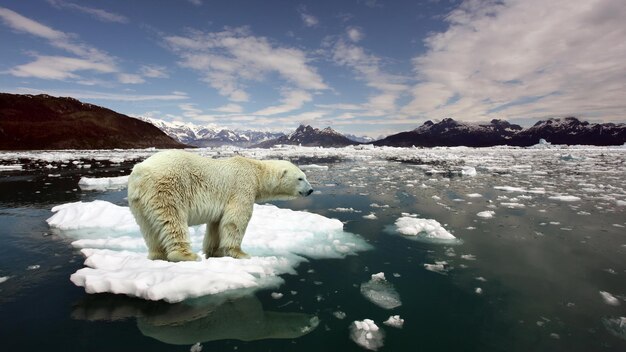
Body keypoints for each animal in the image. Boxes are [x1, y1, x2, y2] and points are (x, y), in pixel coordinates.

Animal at [127, 150, 312, 262]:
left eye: (304, 176)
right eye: (300, 178)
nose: (310, 190)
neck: (256, 172)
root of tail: (140, 172)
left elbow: (216, 225)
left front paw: (214, 252)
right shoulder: (242, 188)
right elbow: (235, 220)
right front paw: (240, 253)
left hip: (139, 202)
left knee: (148, 228)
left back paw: (157, 255)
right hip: (167, 188)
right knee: (172, 220)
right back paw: (187, 255)